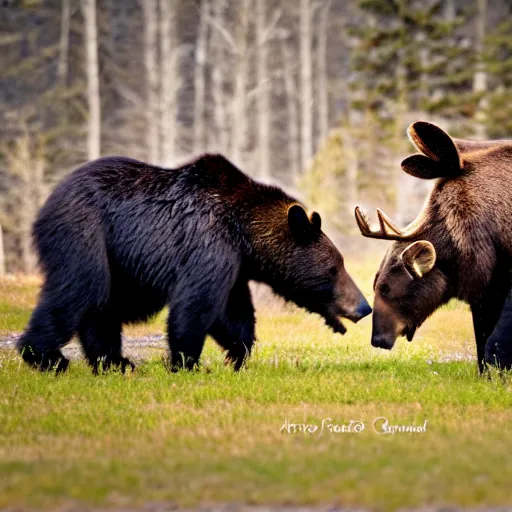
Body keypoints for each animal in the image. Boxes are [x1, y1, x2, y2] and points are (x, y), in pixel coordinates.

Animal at [19, 154, 372, 374]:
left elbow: (234, 314)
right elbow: (196, 304)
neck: (244, 233)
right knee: (81, 289)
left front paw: (236, 355)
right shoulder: (208, 245)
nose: (363, 306)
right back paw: (46, 357)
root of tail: (48, 200)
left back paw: (114, 362)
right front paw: (186, 362)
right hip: (85, 233)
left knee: (102, 307)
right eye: (334, 268)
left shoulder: (234, 265)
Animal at [354, 122, 512, 374]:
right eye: (376, 286)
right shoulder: (486, 288)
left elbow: (492, 344)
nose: (377, 340)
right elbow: (482, 343)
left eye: (386, 288)